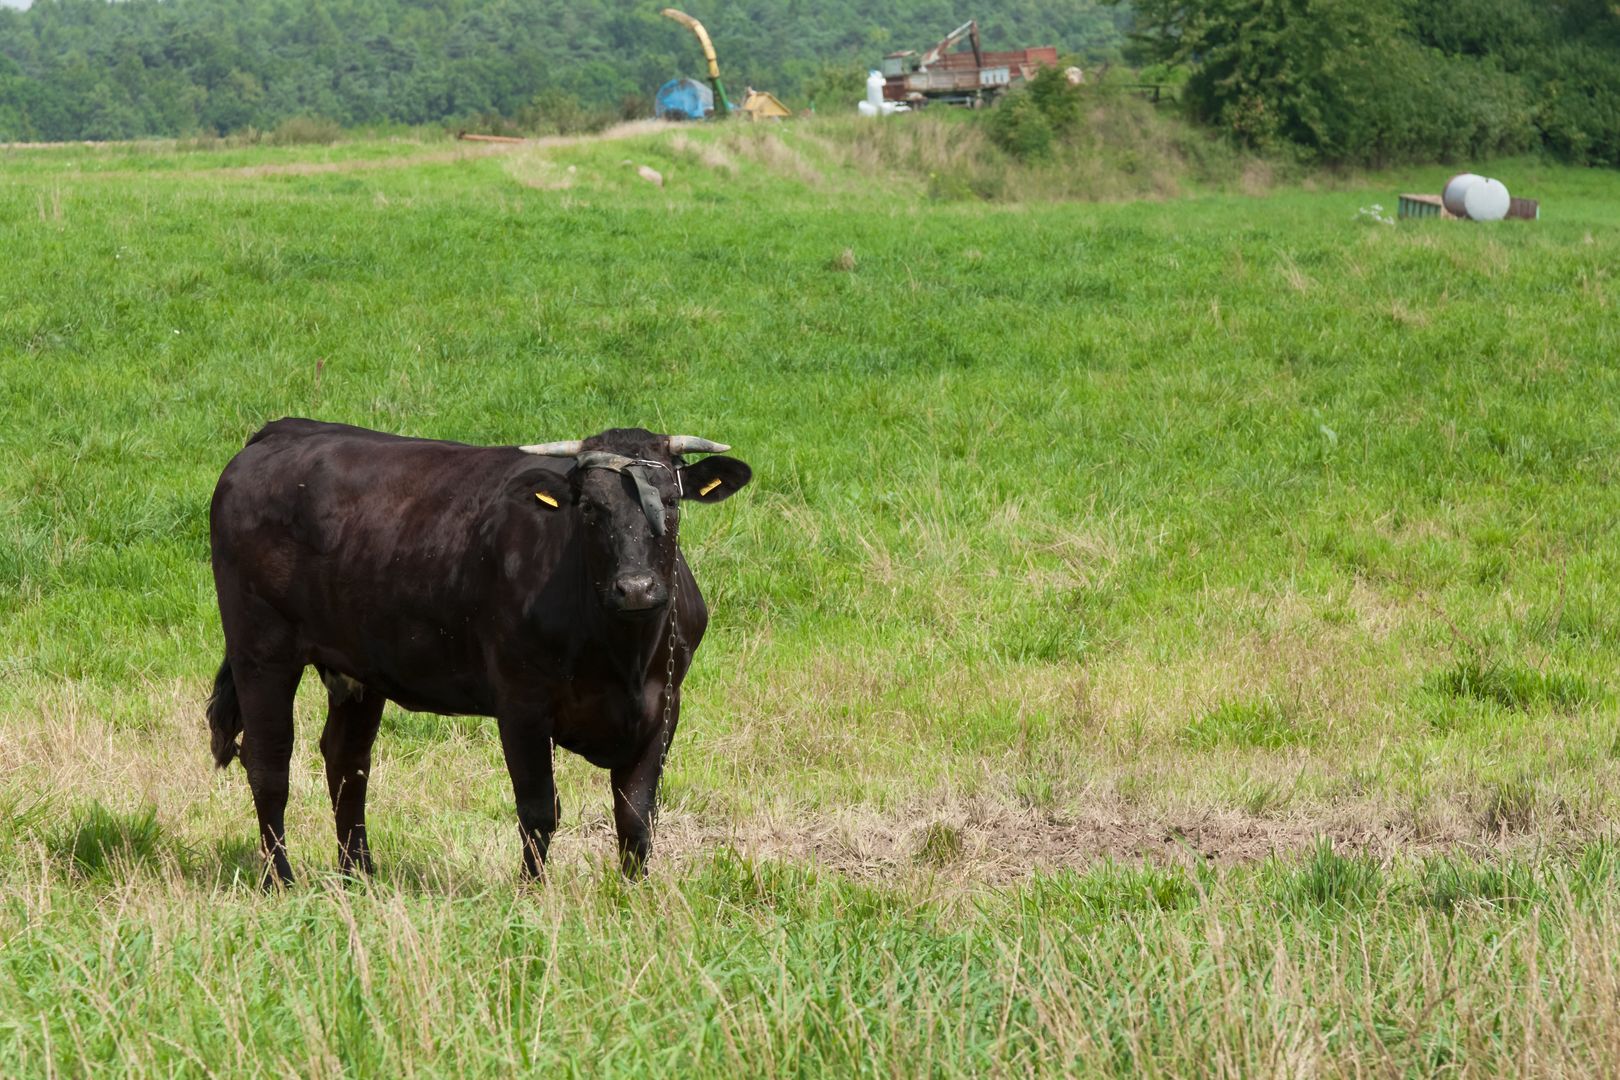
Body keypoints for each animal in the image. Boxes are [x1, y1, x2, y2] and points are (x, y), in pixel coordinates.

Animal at [204, 417, 751, 880]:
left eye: (672, 501)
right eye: (590, 508)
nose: (635, 588)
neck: (624, 658)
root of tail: (282, 430)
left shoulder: (664, 704)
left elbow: (636, 816)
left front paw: (632, 899)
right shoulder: (522, 702)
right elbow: (539, 810)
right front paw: (531, 897)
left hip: (358, 666)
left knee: (346, 761)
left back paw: (359, 876)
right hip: (261, 649)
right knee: (269, 763)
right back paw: (281, 880)